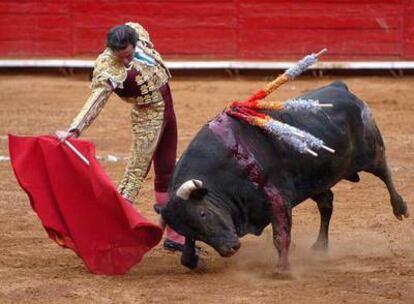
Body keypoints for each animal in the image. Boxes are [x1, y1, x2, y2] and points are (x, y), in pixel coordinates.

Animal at [160, 81, 410, 268]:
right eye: (189, 227)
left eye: (203, 214)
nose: (229, 249)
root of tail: (340, 87)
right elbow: (186, 251)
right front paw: (191, 258)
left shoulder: (277, 197)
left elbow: (280, 235)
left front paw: (282, 269)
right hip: (314, 181)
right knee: (326, 203)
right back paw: (320, 246)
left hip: (370, 151)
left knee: (384, 171)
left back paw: (400, 208)